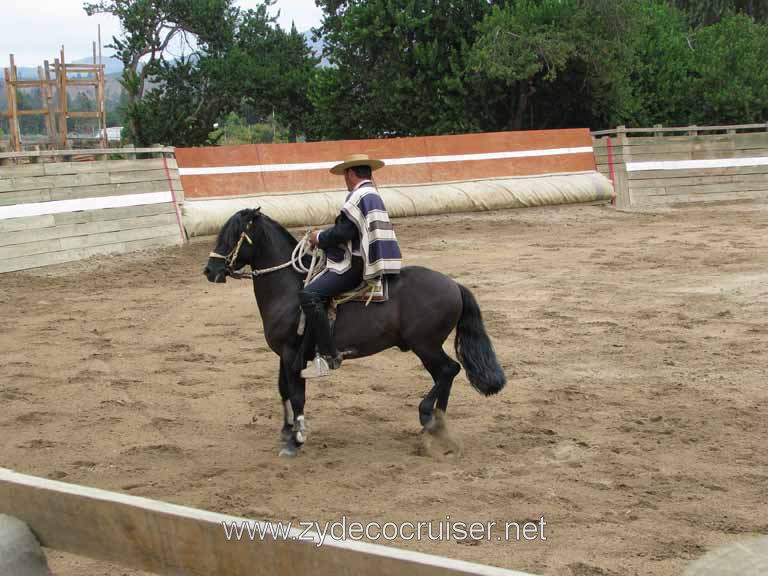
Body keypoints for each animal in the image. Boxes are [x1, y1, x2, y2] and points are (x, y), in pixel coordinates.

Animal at [204, 209, 508, 456]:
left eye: (233, 236)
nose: (210, 269)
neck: (289, 290)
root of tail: (454, 285)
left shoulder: (292, 354)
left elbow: (297, 394)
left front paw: (296, 440)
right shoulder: (283, 355)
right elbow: (283, 391)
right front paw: (287, 430)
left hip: (426, 345)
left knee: (448, 370)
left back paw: (428, 419)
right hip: (427, 347)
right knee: (445, 375)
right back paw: (436, 427)